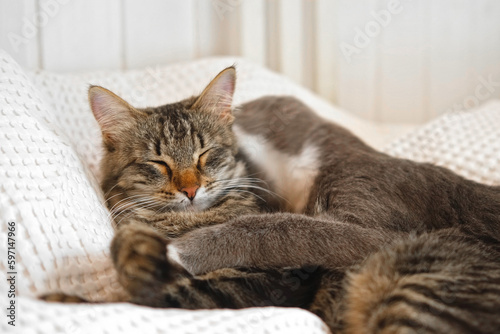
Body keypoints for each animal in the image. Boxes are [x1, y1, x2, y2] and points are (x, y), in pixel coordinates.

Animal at [47, 66, 500, 332]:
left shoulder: (361, 237)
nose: (191, 189)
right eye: (158, 162)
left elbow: (263, 233)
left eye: (206, 155)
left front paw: (180, 252)